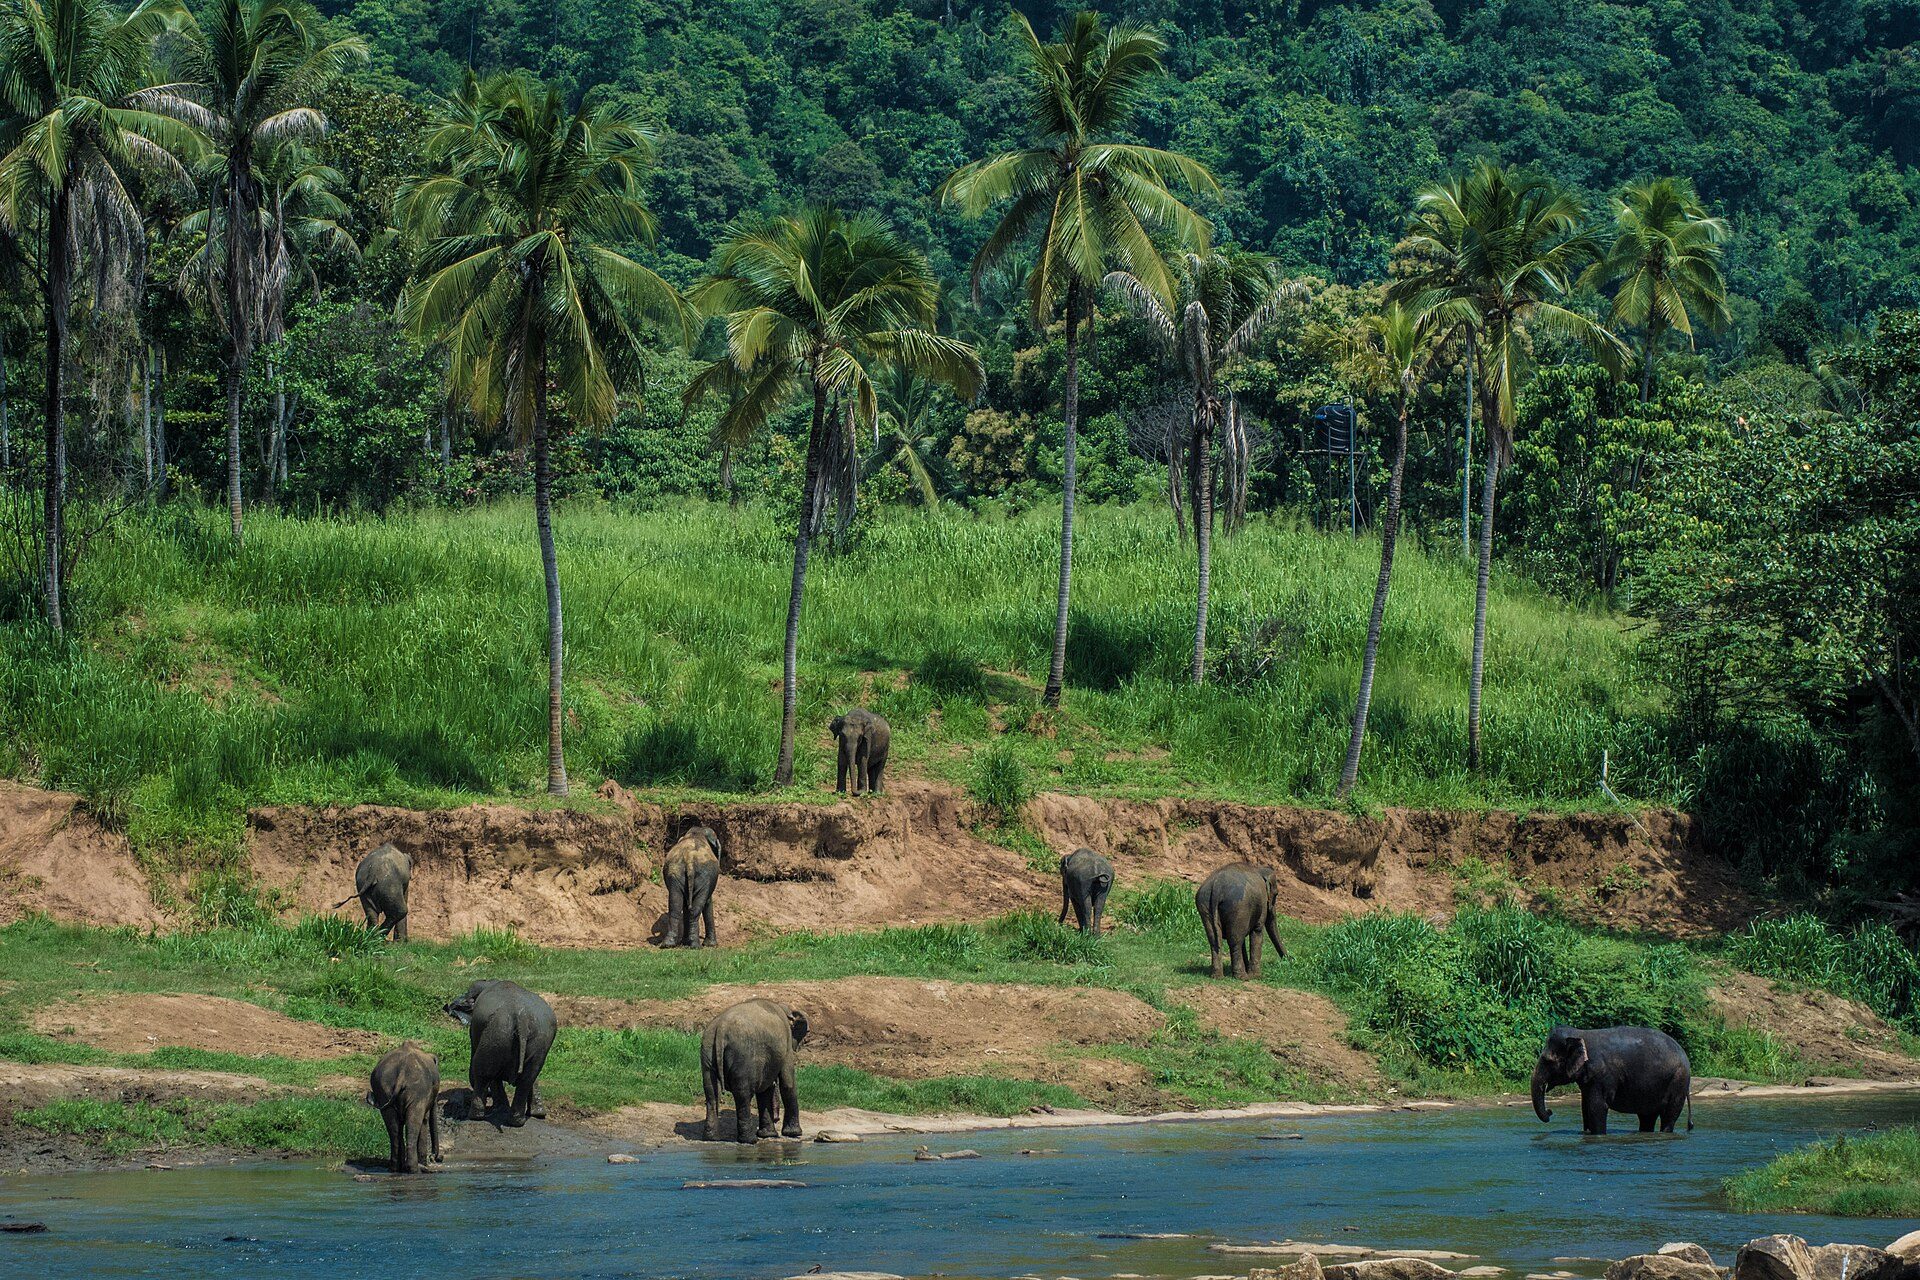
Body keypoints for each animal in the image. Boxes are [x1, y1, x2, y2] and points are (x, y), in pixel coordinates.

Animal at [368, 1041, 442, 1173]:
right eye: (436, 1089)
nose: (436, 1158)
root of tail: (402, 1071)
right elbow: (424, 1120)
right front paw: (424, 1164)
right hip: (417, 1090)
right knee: (414, 1122)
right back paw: (415, 1169)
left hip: (383, 1088)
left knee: (393, 1127)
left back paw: (395, 1168)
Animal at [444, 980, 555, 1128]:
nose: (448, 1006)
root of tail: (522, 1018)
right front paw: (538, 1114)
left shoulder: (475, 1029)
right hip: (538, 1041)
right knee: (527, 1078)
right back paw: (517, 1121)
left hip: (496, 1034)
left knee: (483, 1072)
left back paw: (477, 1116)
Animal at [701, 998, 809, 1144]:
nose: (777, 1118)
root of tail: (721, 1028)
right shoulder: (786, 1045)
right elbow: (788, 1082)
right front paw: (794, 1133)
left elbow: (766, 1089)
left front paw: (768, 1135)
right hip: (742, 1056)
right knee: (743, 1094)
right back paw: (750, 1140)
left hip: (707, 1050)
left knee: (711, 1092)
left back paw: (712, 1138)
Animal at [1531, 1024, 1693, 1135]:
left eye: (1548, 1061)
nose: (1550, 1112)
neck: (1580, 1033)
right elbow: (1585, 1107)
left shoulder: (1601, 1075)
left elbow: (1597, 1106)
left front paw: (1598, 1135)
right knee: (1647, 1117)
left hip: (1678, 1081)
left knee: (1669, 1115)